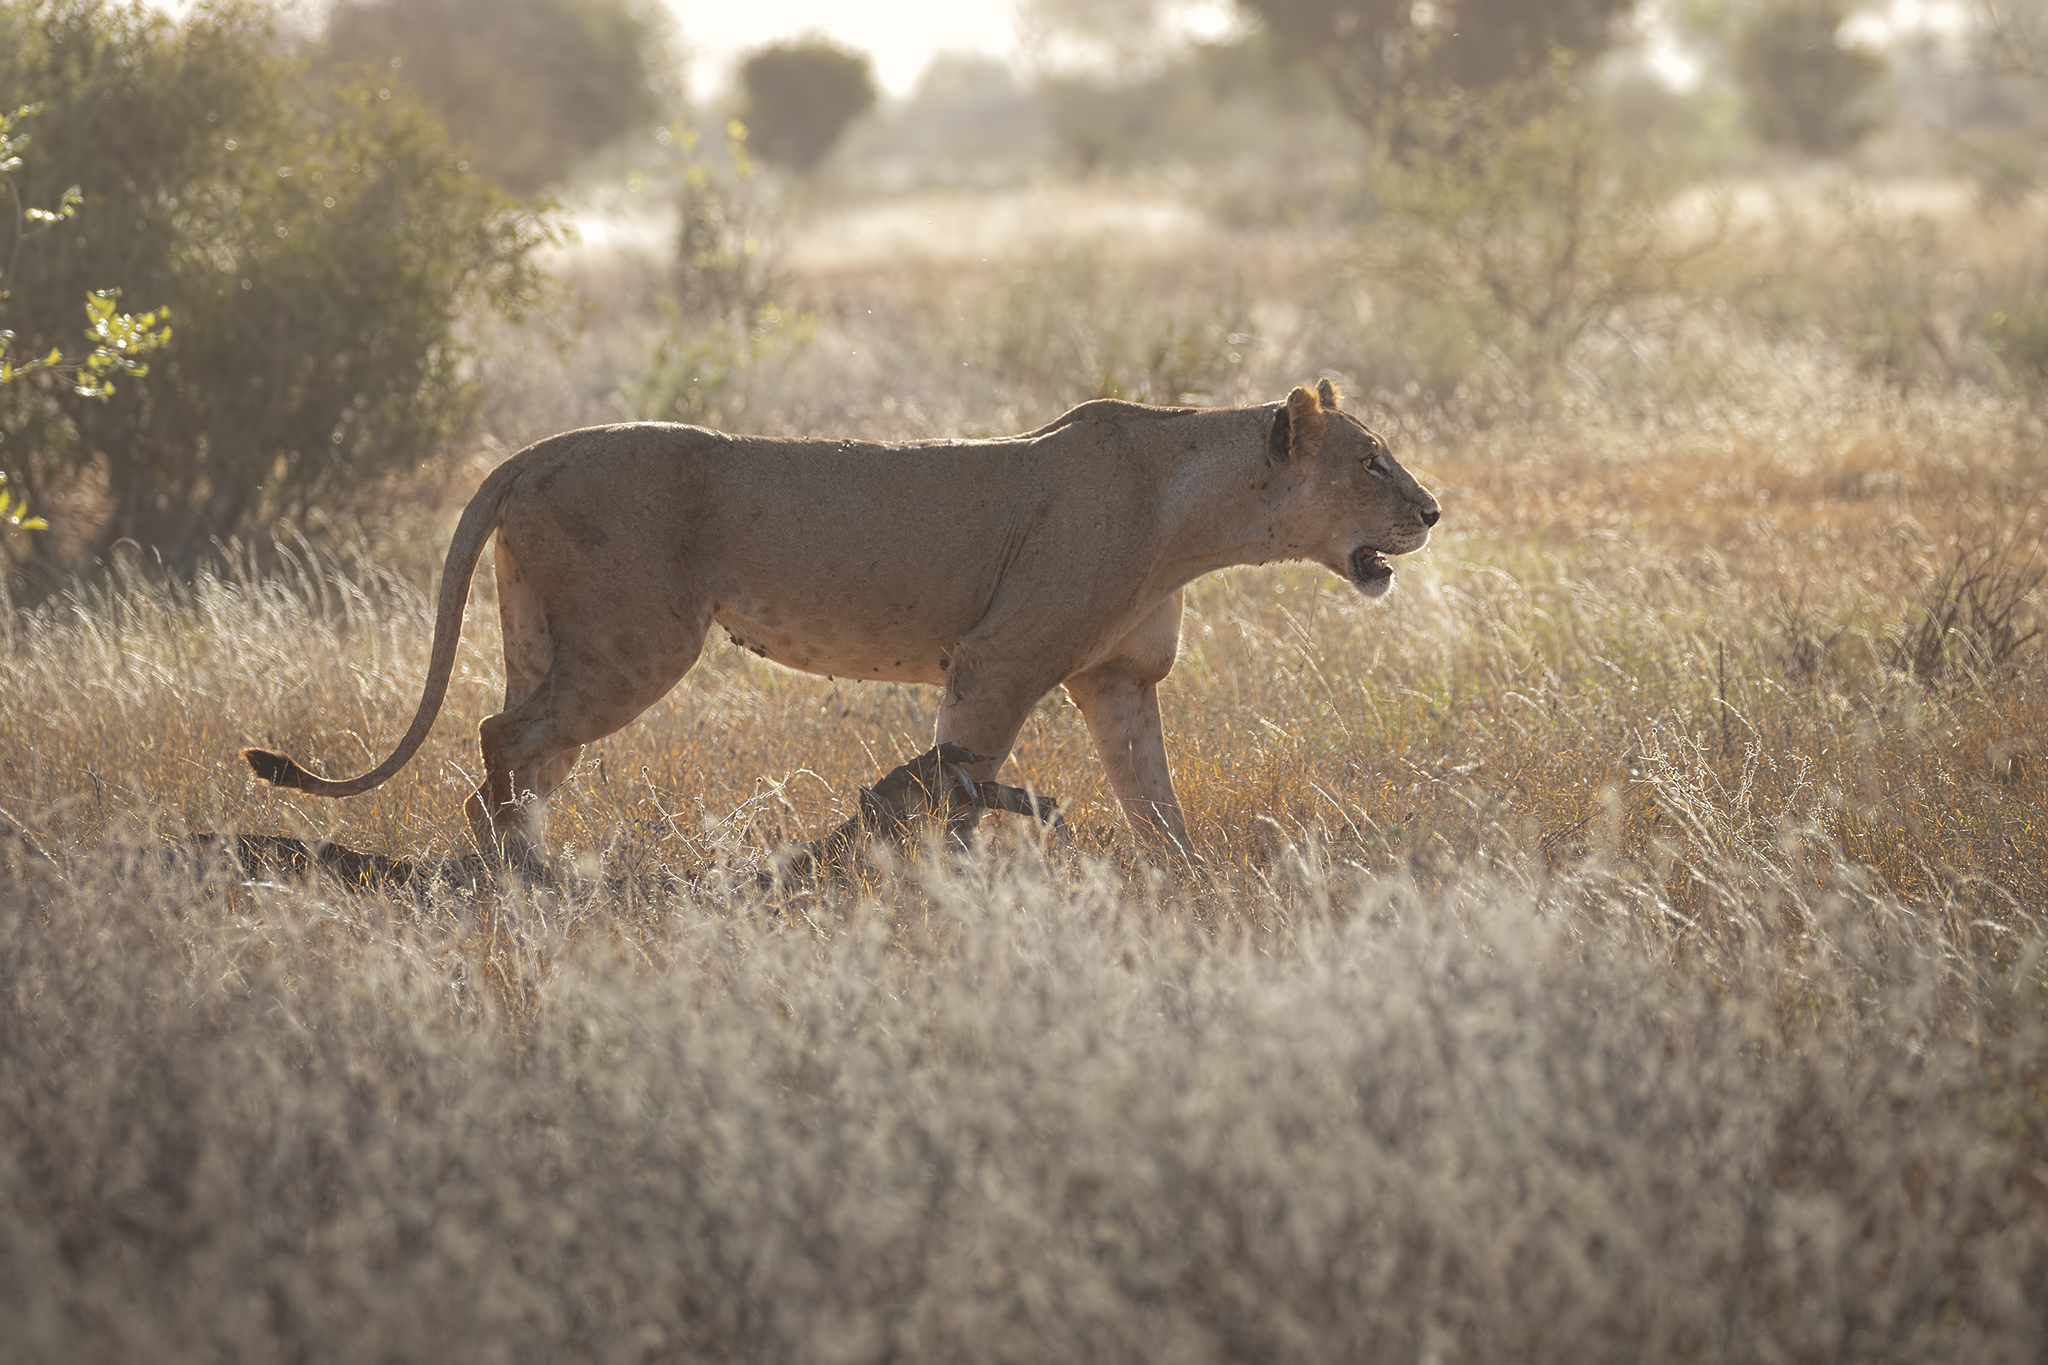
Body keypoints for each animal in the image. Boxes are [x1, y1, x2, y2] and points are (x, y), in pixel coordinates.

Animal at [243, 379, 1440, 869]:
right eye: (1372, 464)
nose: (1431, 511)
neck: (1192, 516)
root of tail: (536, 449)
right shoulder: (996, 662)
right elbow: (955, 794)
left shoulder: (1117, 682)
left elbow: (1157, 805)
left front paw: (1191, 892)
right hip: (639, 645)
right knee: (506, 739)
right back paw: (518, 872)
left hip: (542, 636)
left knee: (514, 746)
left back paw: (512, 866)